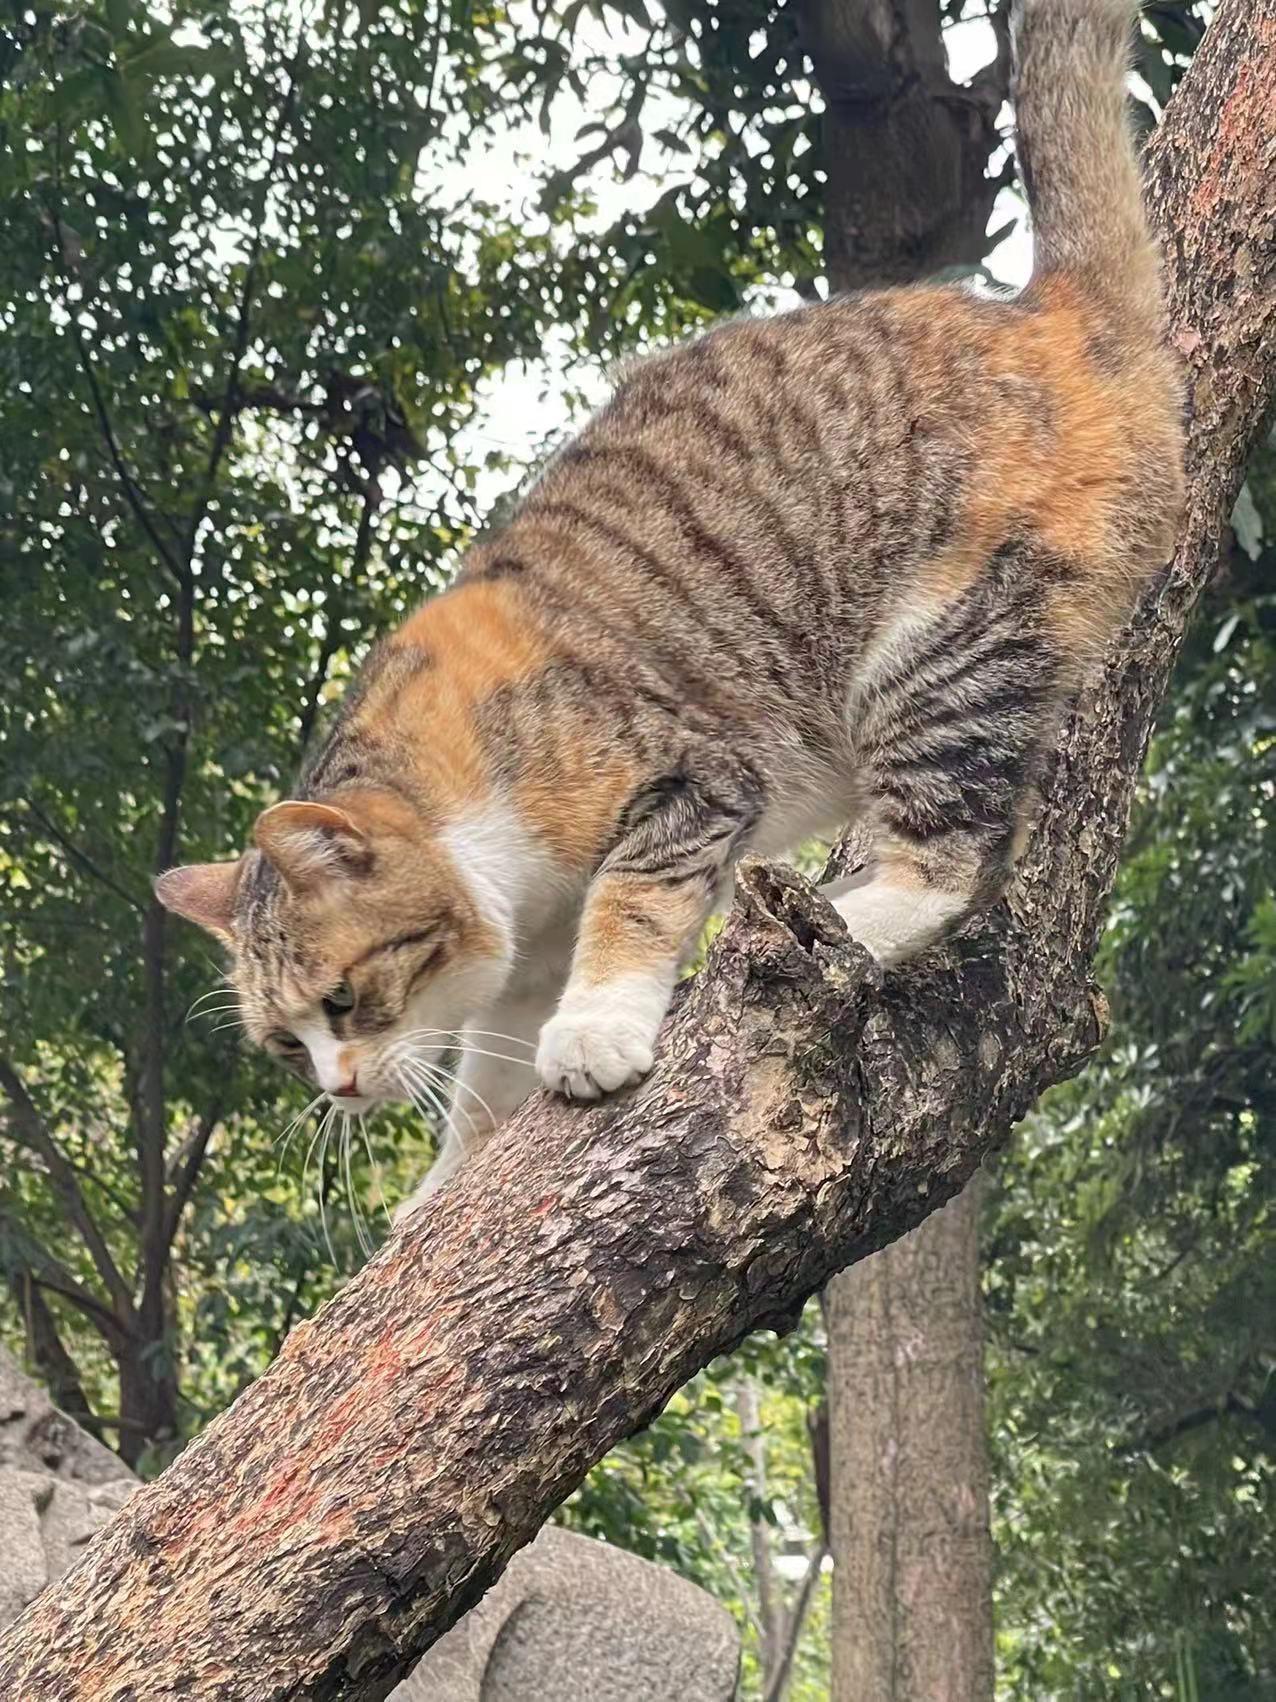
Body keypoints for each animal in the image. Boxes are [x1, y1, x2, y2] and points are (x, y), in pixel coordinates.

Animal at [157, 3, 1190, 1225]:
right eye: (285, 1044)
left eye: (345, 1001)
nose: (342, 1089)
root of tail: (1048, 313)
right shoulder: (525, 940)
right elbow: (483, 1070)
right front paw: (450, 1179)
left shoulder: (689, 777)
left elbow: (633, 900)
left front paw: (596, 1030)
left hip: (938, 648)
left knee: (951, 859)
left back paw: (863, 914)